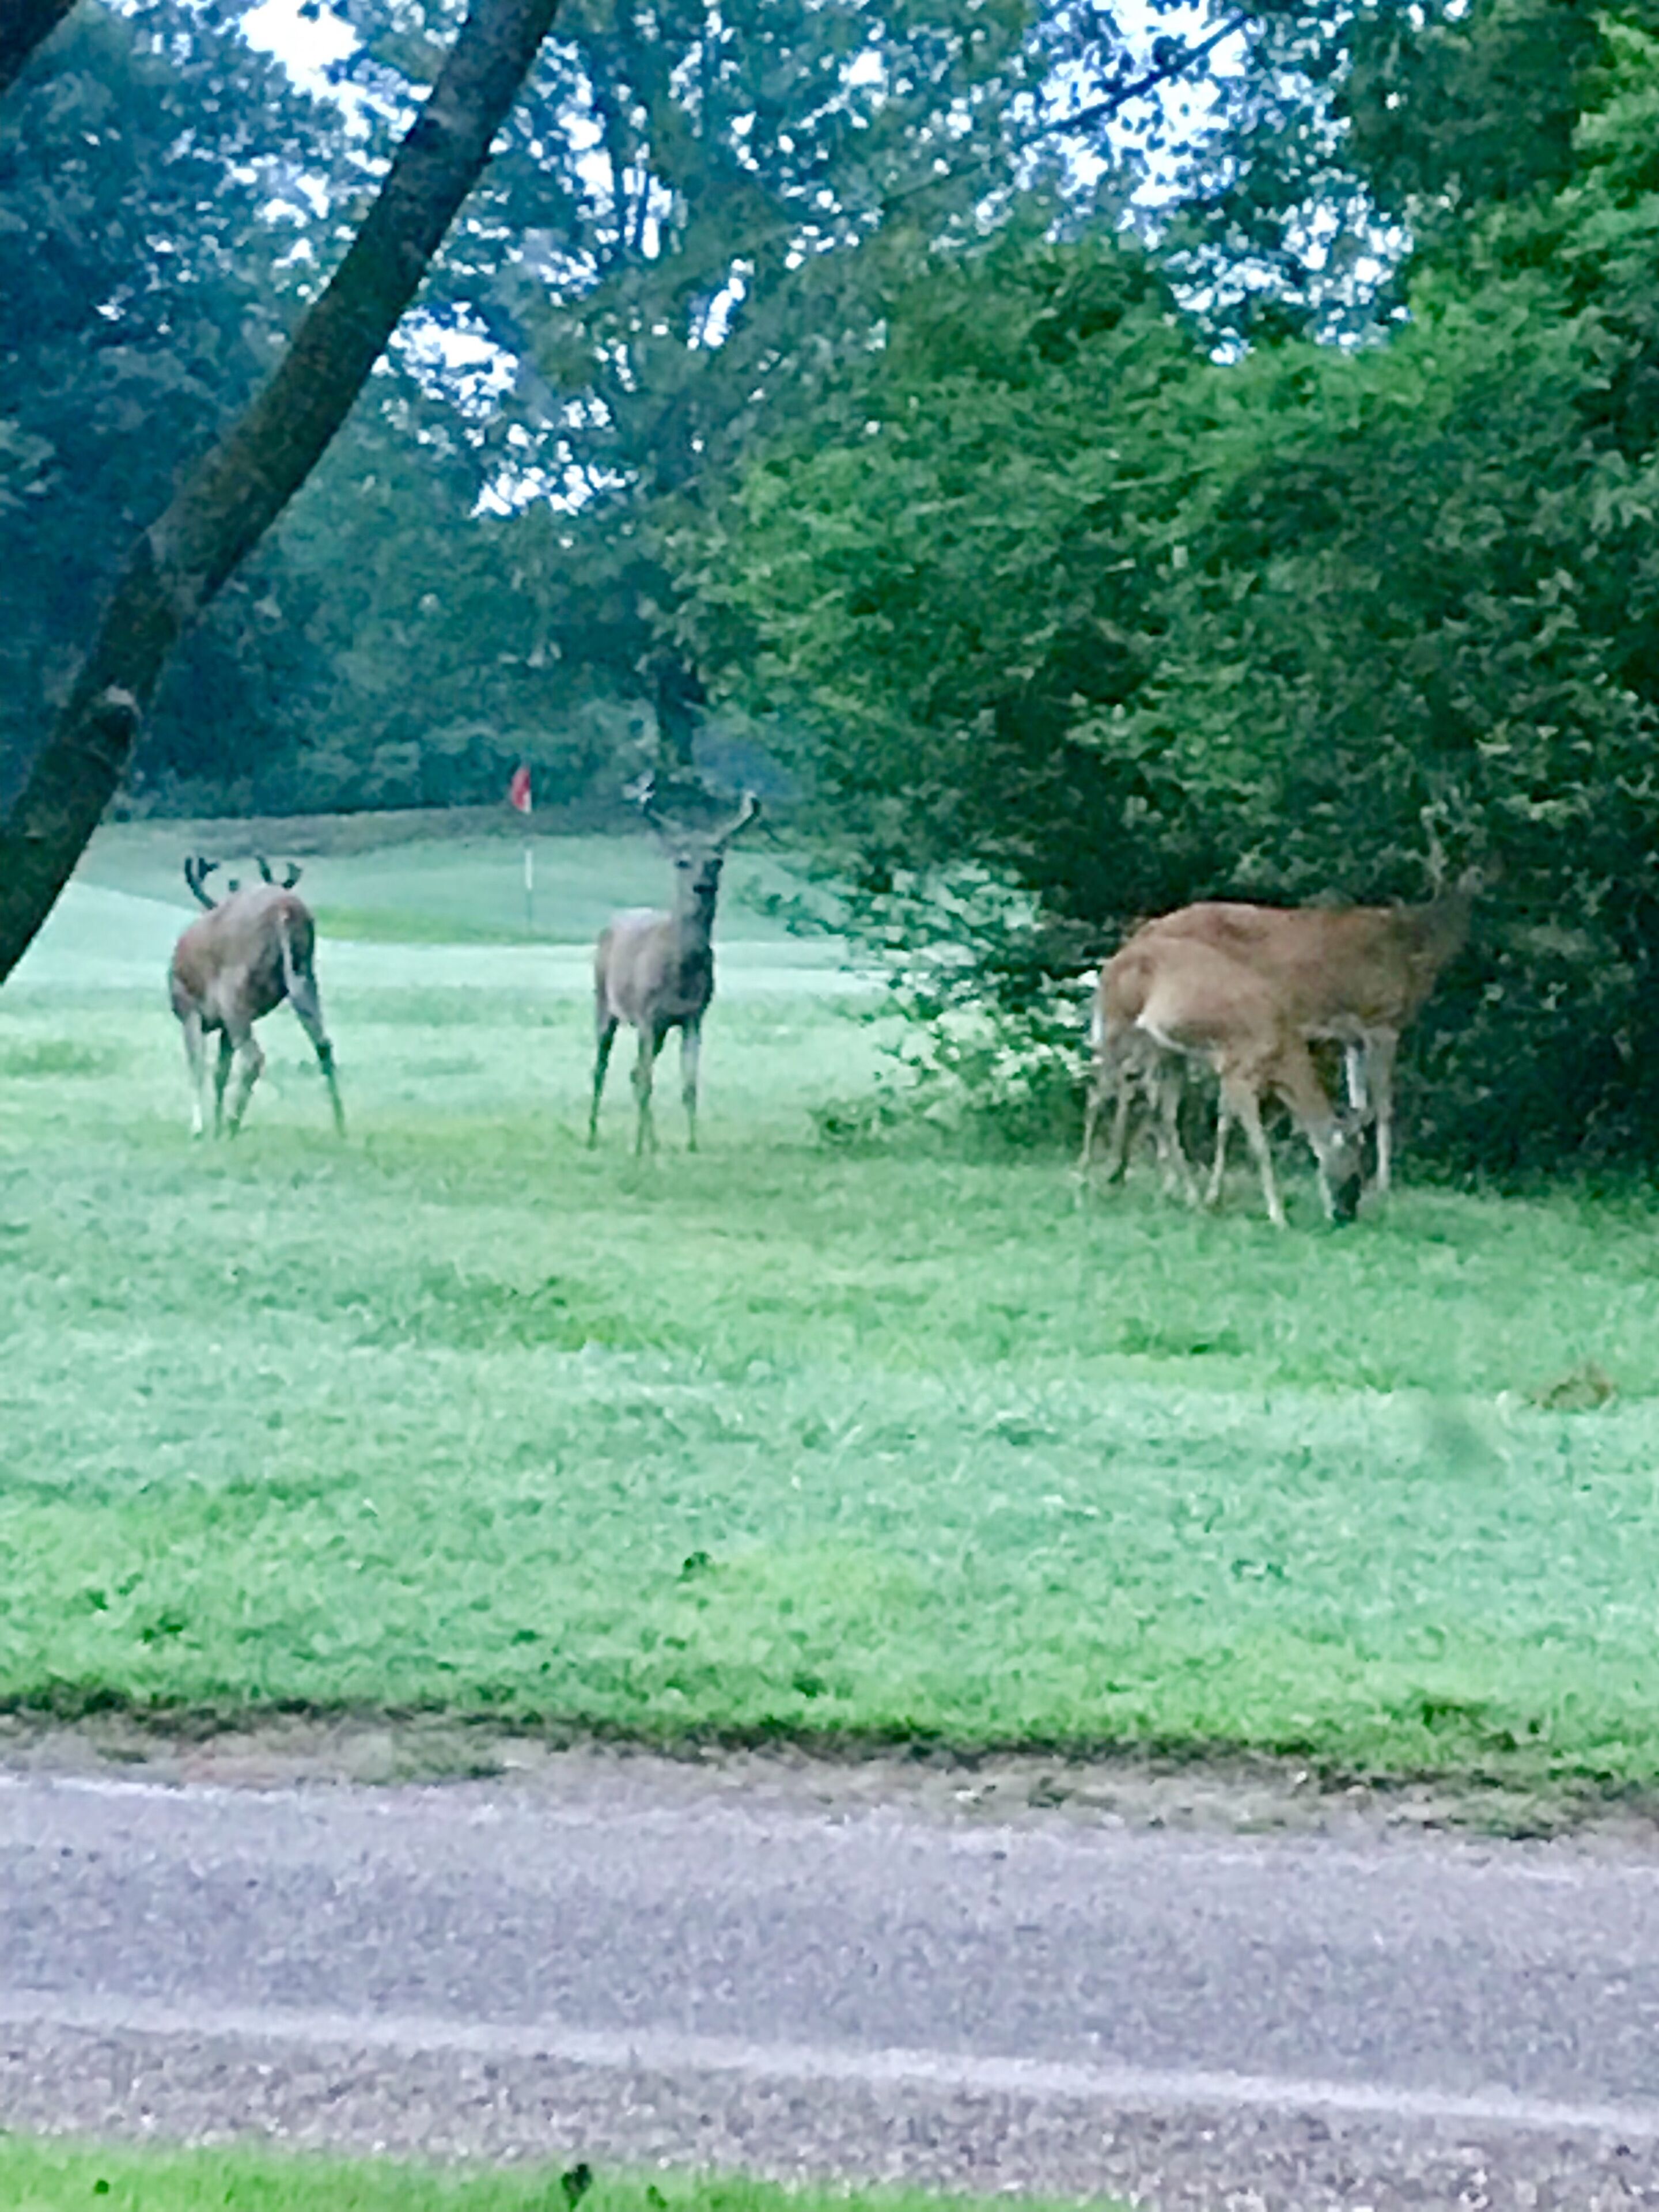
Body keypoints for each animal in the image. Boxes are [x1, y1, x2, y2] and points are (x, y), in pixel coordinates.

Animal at [169, 855, 344, 1139]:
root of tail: (285, 911)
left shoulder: (188, 1008)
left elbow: (197, 1068)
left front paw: (200, 1128)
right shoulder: (222, 1026)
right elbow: (220, 1073)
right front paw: (214, 1127)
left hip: (234, 992)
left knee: (254, 1058)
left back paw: (233, 1123)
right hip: (304, 974)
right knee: (324, 1046)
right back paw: (341, 1126)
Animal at [587, 780, 760, 1155]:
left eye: (717, 861)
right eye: (682, 861)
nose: (703, 886)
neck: (680, 971)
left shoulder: (693, 1016)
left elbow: (690, 1084)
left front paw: (692, 1144)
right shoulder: (647, 1014)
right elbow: (647, 1082)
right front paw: (638, 1148)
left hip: (661, 1028)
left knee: (634, 1072)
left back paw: (652, 1141)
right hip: (604, 1002)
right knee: (602, 1068)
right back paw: (593, 1135)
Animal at [1083, 933, 1363, 1228]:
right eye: (1354, 1173)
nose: (1346, 1217)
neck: (1280, 1055)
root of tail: (1109, 966)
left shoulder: (1228, 1073)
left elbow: (1224, 1128)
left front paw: (1213, 1199)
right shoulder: (1239, 1071)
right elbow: (1259, 1145)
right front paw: (1278, 1216)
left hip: (1166, 1051)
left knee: (1161, 1112)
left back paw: (1188, 1197)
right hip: (1117, 1024)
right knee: (1098, 1091)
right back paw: (1084, 1179)